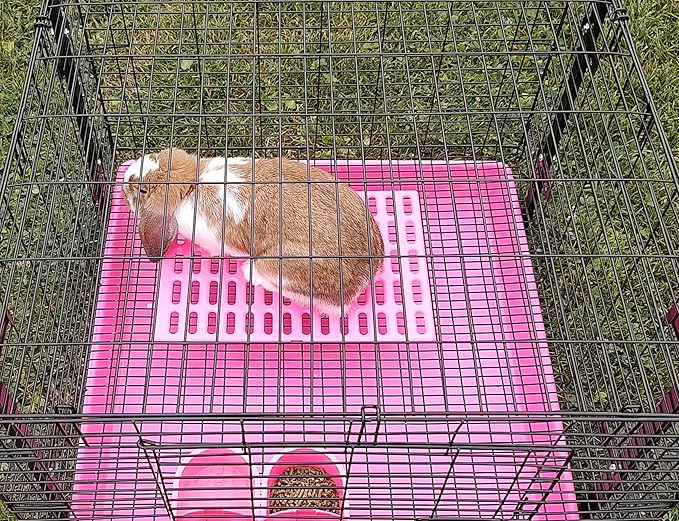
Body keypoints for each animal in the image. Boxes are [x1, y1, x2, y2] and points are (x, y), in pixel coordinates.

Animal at [122, 147, 384, 316]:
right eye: (155, 156)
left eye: (142, 190)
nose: (125, 178)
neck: (191, 183)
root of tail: (364, 278)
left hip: (277, 265)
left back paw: (250, 273)